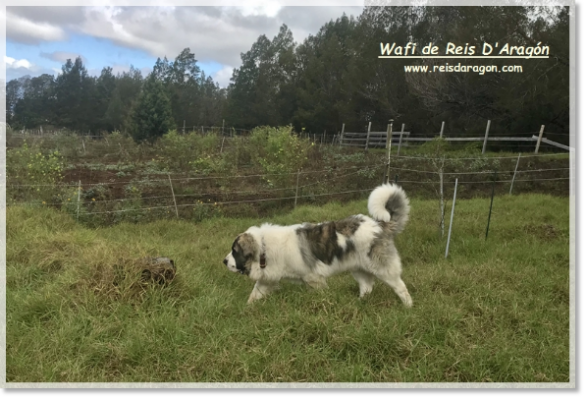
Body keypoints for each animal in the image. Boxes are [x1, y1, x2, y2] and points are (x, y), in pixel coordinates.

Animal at [222, 183, 410, 308]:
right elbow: (254, 294)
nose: (224, 261)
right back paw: (360, 303)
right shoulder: (266, 280)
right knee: (367, 287)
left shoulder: (313, 278)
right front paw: (246, 310)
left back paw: (407, 307)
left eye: (235, 251)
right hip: (359, 269)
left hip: (383, 268)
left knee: (400, 287)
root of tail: (380, 225)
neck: (264, 247)